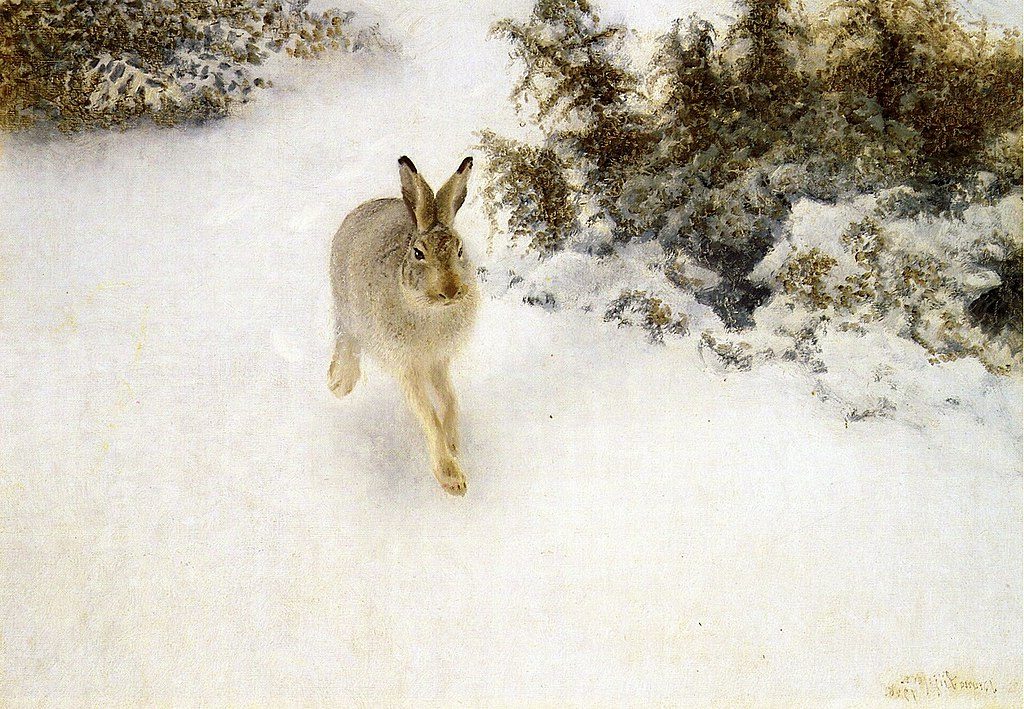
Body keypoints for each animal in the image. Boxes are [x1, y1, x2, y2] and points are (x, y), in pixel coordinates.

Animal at [329, 155, 480, 496]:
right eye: (418, 253)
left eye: (460, 250)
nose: (451, 291)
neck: (430, 311)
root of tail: (361, 209)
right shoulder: (407, 365)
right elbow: (427, 414)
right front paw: (452, 479)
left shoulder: (438, 360)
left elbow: (449, 400)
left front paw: (453, 444)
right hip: (347, 307)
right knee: (347, 337)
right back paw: (339, 383)